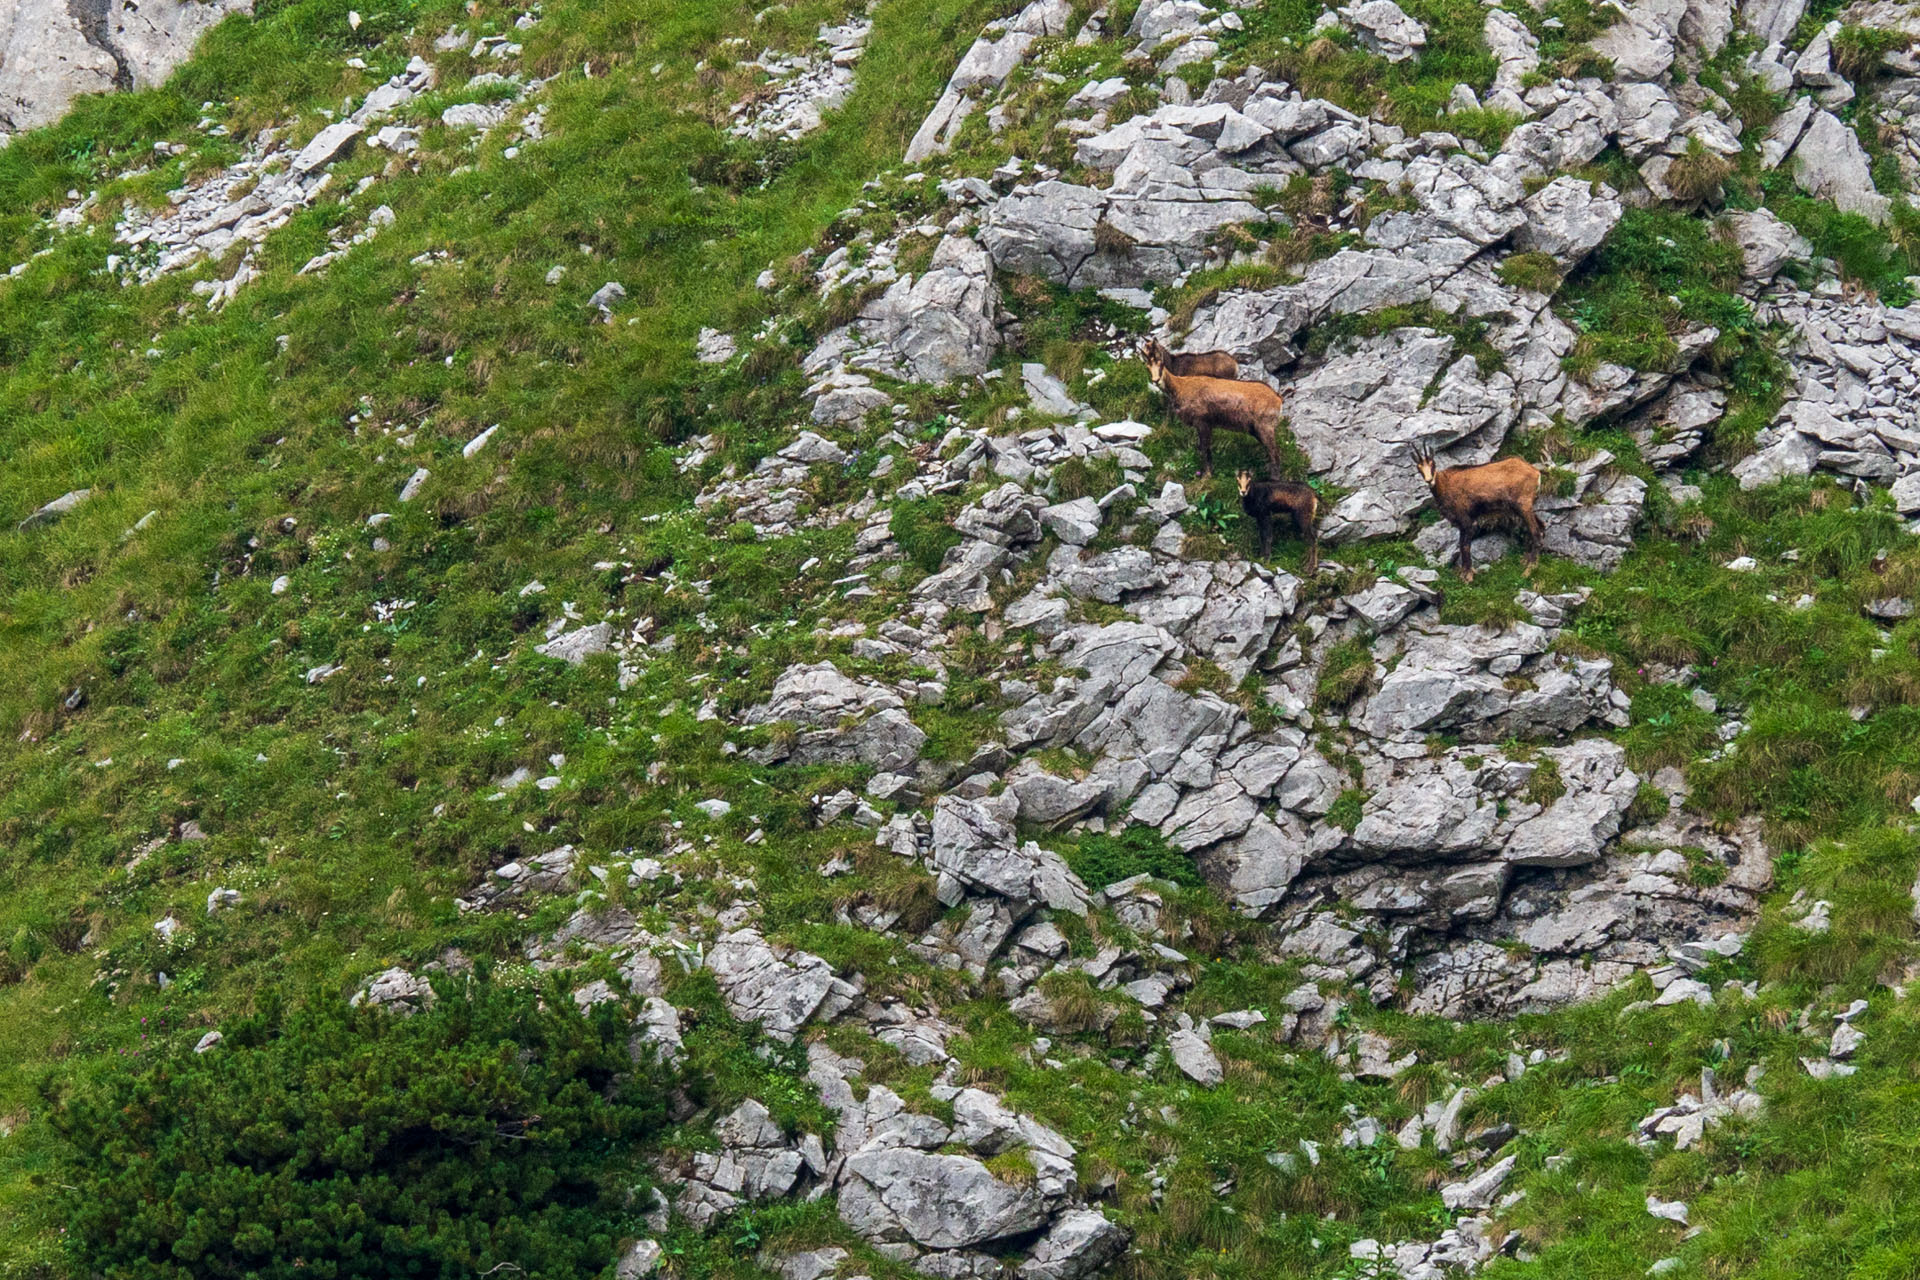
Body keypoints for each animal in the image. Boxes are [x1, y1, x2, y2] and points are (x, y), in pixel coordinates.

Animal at [1144, 343, 1282, 477]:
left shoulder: (1202, 422)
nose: (1156, 381)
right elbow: (1204, 449)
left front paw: (1207, 475)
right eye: (1148, 366)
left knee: (1275, 453)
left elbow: (1204, 449)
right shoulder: (1204, 425)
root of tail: (1277, 398)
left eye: (1161, 364)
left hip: (1265, 427)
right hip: (1255, 429)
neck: (1180, 387)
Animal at [1413, 443, 1543, 579]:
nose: (1429, 480)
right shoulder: (1461, 523)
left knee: (1535, 532)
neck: (1445, 484)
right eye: (1419, 468)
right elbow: (1462, 544)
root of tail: (1535, 472)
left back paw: (1530, 569)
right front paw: (1465, 572)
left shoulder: (1466, 520)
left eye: (1433, 464)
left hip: (1524, 505)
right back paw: (1527, 559)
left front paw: (1468, 575)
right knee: (1540, 526)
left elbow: (1465, 545)